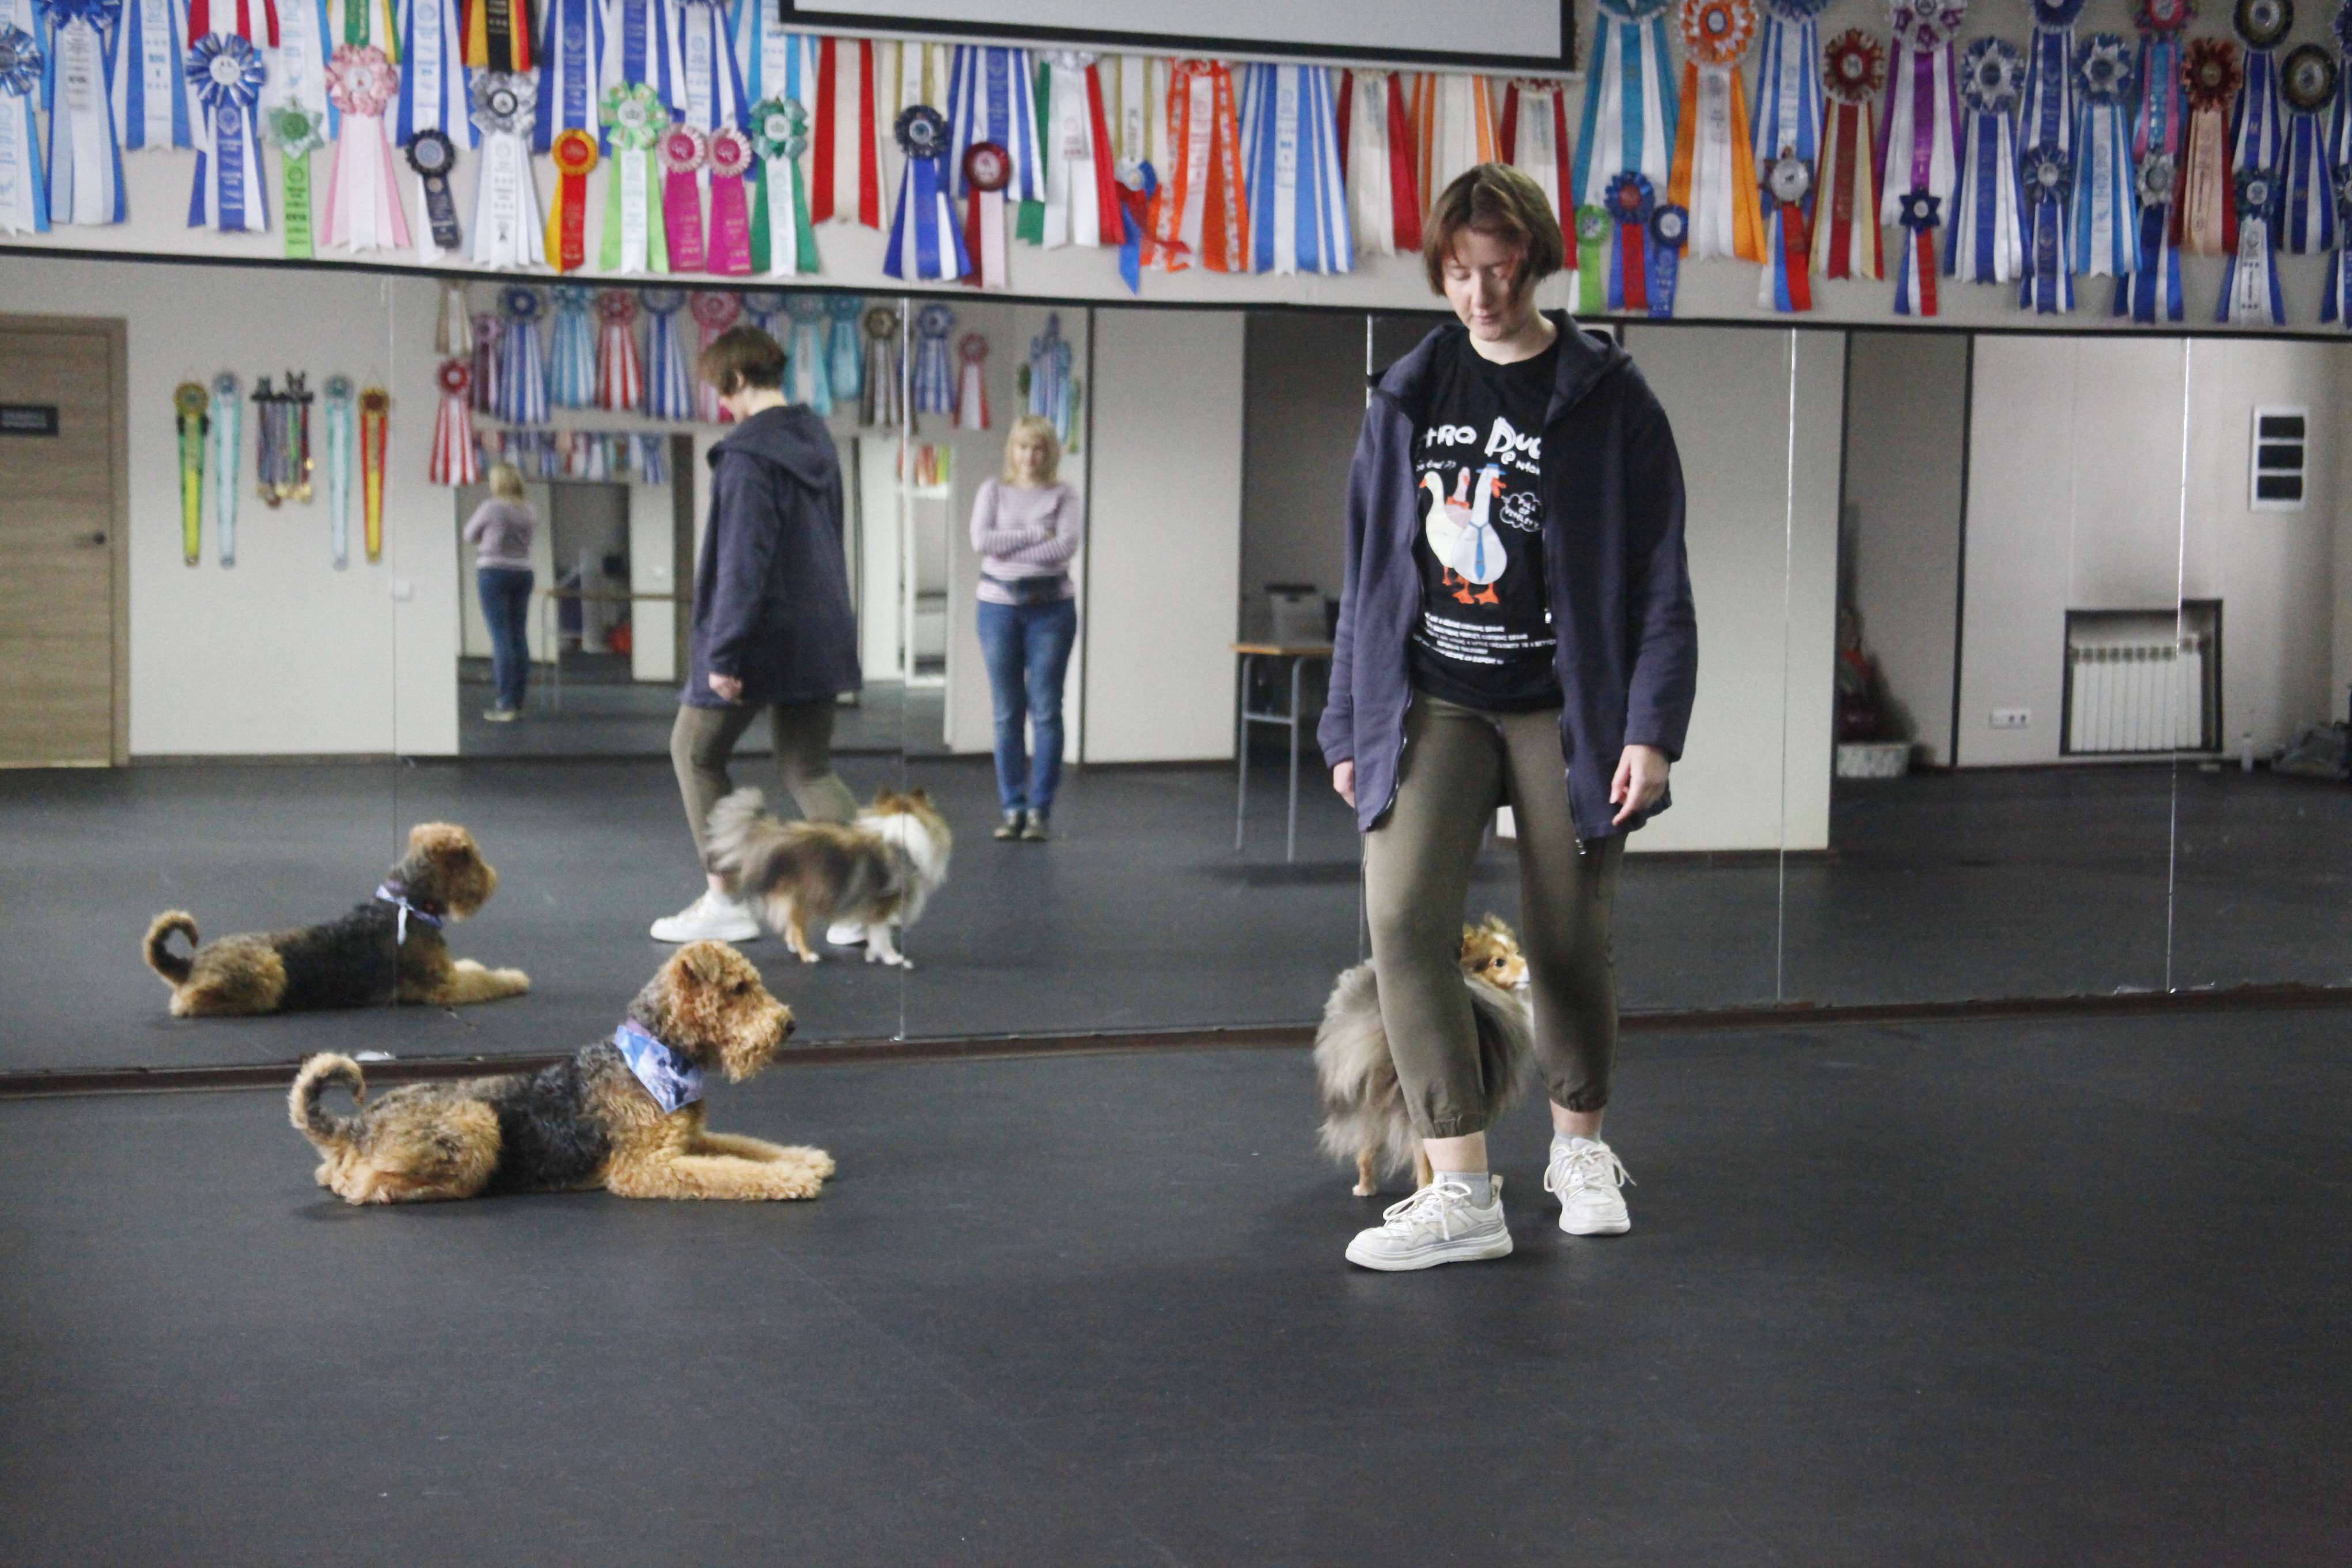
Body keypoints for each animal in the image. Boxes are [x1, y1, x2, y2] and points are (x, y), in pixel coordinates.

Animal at [144, 823, 529, 1017]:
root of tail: (189, 964)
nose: (493, 879)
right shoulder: (444, 987)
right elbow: (486, 980)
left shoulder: (448, 973)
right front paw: (516, 979)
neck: (408, 902)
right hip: (269, 972)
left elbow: (474, 968)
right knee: (186, 1002)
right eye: (470, 857)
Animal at [289, 940, 833, 1204]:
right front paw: (792, 1180)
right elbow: (732, 1172)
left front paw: (807, 1160)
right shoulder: (647, 1166)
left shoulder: (687, 1141)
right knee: (368, 1188)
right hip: (478, 1122)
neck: (659, 1055)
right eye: (740, 988)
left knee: (333, 1176)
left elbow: (747, 1150)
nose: (789, 1025)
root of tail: (353, 1126)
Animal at [704, 786, 952, 968]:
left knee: (791, 927)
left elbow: (875, 936)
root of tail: (775, 836)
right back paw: (808, 956)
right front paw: (893, 959)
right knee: (797, 929)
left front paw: (872, 955)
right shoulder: (883, 906)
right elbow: (882, 936)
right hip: (804, 897)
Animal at [1314, 914, 1533, 1197]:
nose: (1530, 969)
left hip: (1367, 1103)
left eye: (1517, 952)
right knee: (1422, 1157)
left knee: (1366, 1147)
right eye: (1499, 962)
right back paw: (1427, 1188)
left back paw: (1365, 1188)